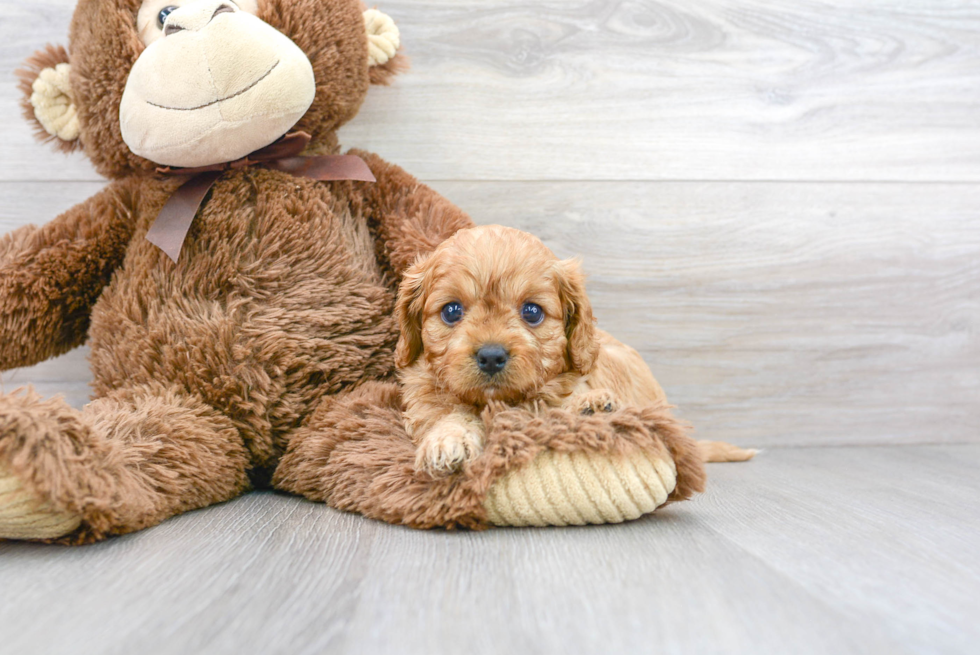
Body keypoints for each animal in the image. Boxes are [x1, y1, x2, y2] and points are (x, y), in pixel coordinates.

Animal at [394, 226, 756, 476]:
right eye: (452, 311)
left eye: (532, 312)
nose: (492, 356)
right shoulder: (425, 402)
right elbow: (449, 414)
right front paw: (448, 439)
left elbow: (544, 407)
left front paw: (582, 405)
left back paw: (592, 409)